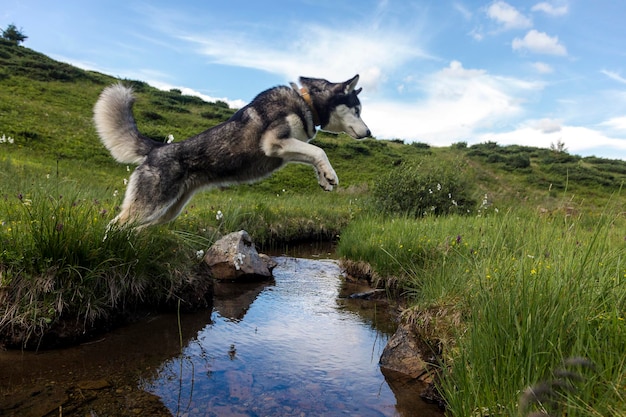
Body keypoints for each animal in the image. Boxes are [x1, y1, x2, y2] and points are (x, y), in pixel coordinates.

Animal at [94, 74, 368, 228]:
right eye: (356, 110)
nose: (369, 133)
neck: (307, 103)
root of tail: (156, 148)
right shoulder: (274, 143)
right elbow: (319, 151)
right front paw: (330, 174)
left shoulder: (286, 149)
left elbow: (312, 154)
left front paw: (323, 178)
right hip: (149, 207)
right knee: (115, 226)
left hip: (166, 212)